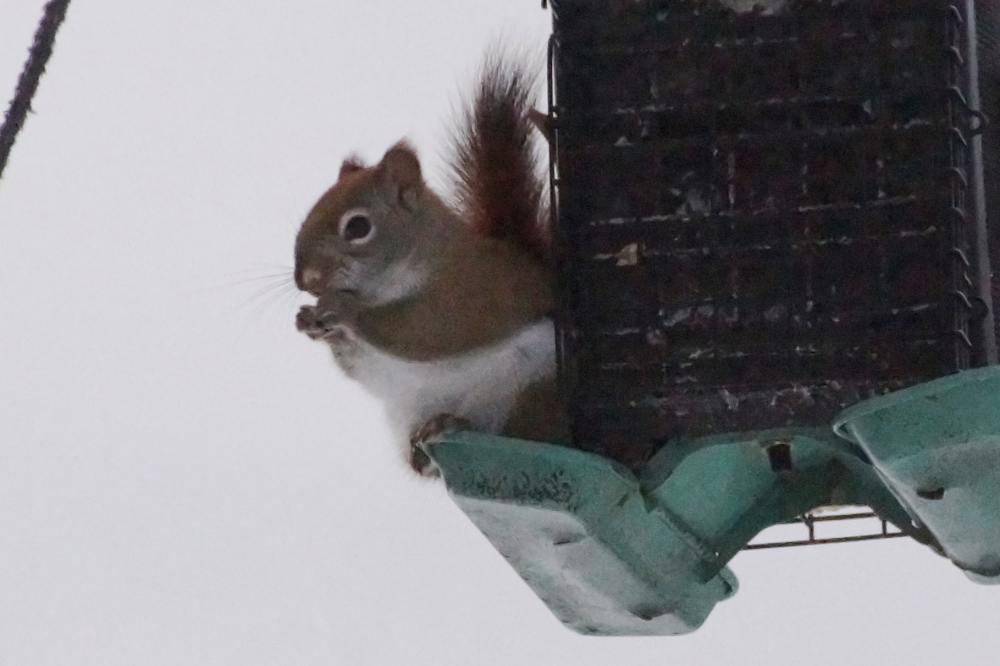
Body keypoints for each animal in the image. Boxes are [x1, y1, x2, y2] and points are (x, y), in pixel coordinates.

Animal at [293, 52, 566, 477]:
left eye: (357, 227)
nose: (305, 279)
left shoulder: (470, 291)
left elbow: (426, 332)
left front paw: (342, 309)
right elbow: (358, 367)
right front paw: (310, 321)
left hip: (533, 390)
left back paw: (455, 423)